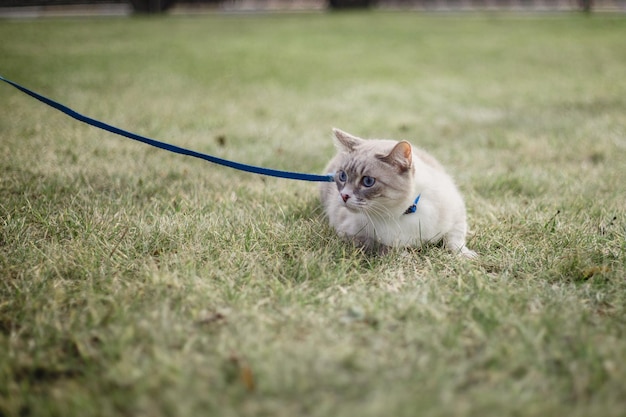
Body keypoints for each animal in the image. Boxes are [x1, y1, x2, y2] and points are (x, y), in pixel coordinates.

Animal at [320, 127, 476, 256]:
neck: (405, 212)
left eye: (368, 181)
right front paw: (406, 256)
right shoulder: (351, 234)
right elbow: (385, 247)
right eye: (342, 176)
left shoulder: (457, 214)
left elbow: (455, 239)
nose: (344, 195)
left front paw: (465, 255)